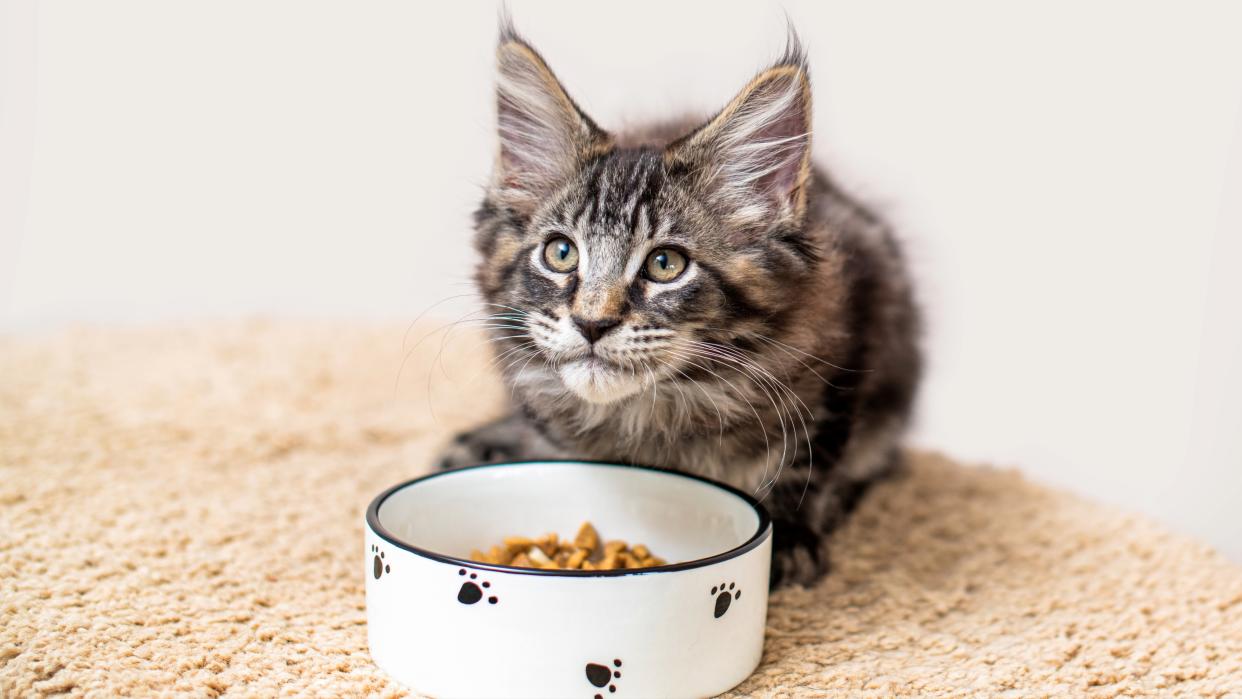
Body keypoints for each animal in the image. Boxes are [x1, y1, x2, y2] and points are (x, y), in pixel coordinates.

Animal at [437, 21, 924, 588]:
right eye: (561, 253)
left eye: (666, 264)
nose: (591, 323)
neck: (656, 415)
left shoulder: (849, 335)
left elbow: (810, 458)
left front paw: (787, 535)